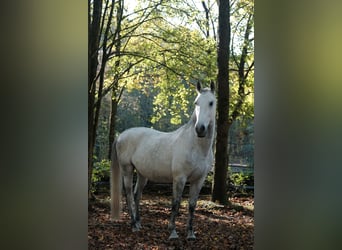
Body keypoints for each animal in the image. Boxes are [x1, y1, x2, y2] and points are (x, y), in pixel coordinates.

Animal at [111, 81, 215, 239]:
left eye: (211, 102)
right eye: (196, 102)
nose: (200, 129)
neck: (196, 146)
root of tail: (121, 135)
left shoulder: (199, 180)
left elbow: (192, 205)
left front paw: (190, 233)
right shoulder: (179, 178)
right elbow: (176, 203)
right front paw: (172, 232)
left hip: (142, 174)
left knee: (137, 194)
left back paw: (139, 223)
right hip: (127, 169)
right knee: (129, 194)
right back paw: (133, 225)